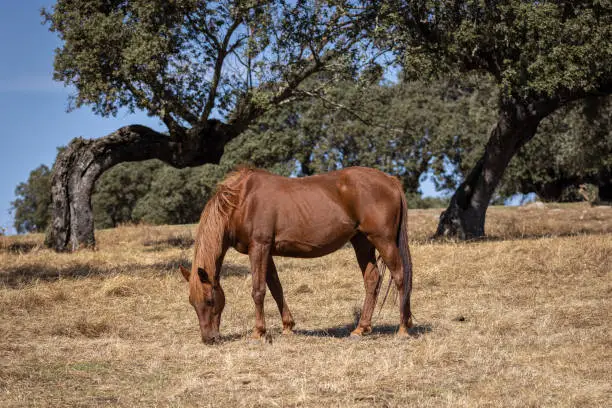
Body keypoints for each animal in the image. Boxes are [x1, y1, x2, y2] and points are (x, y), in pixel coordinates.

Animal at [179, 165, 414, 342]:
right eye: (191, 302)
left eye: (210, 301)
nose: (209, 339)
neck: (241, 201)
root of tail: (391, 180)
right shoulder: (266, 252)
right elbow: (275, 287)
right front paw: (287, 326)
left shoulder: (259, 247)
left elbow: (258, 290)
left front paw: (258, 333)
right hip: (362, 242)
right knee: (372, 279)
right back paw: (362, 328)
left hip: (382, 240)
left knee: (400, 275)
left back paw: (403, 328)